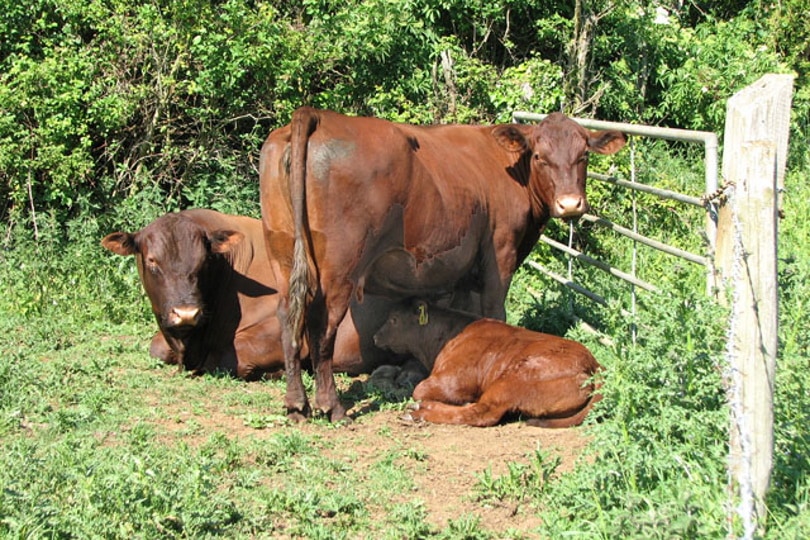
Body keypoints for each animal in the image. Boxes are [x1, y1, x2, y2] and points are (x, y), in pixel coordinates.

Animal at [372, 302, 600, 428]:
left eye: (393, 319)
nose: (375, 337)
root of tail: (592, 363)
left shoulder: (453, 379)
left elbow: (419, 390)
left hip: (512, 381)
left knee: (482, 413)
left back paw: (419, 412)